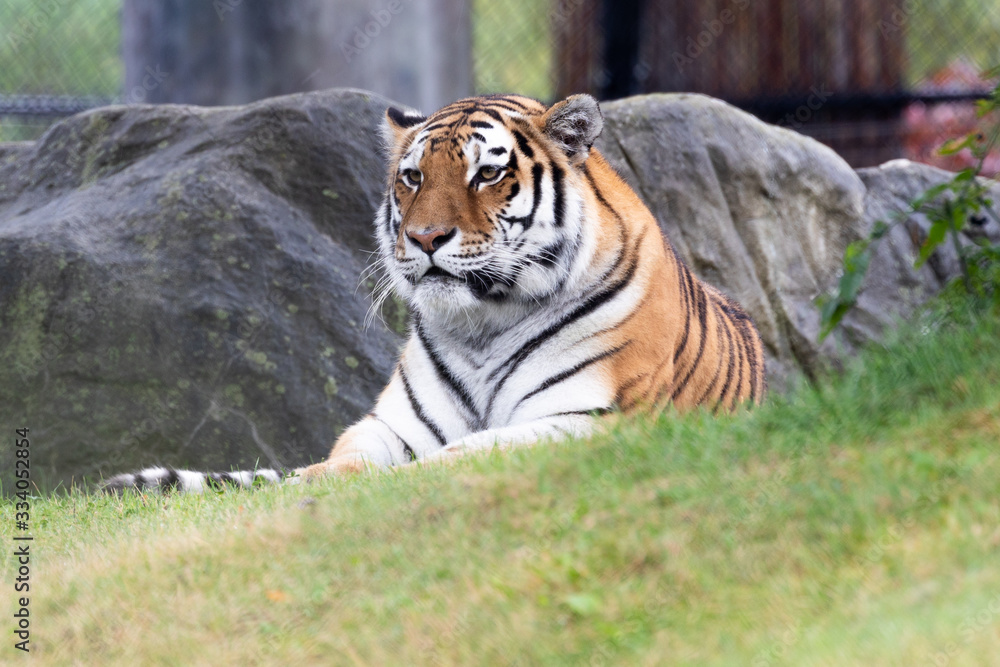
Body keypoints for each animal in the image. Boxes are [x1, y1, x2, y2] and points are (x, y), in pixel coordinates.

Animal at [102, 93, 765, 494]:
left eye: (488, 173)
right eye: (413, 177)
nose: (423, 238)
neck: (484, 323)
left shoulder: (585, 418)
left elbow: (469, 454)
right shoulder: (394, 425)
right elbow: (345, 458)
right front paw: (312, 481)